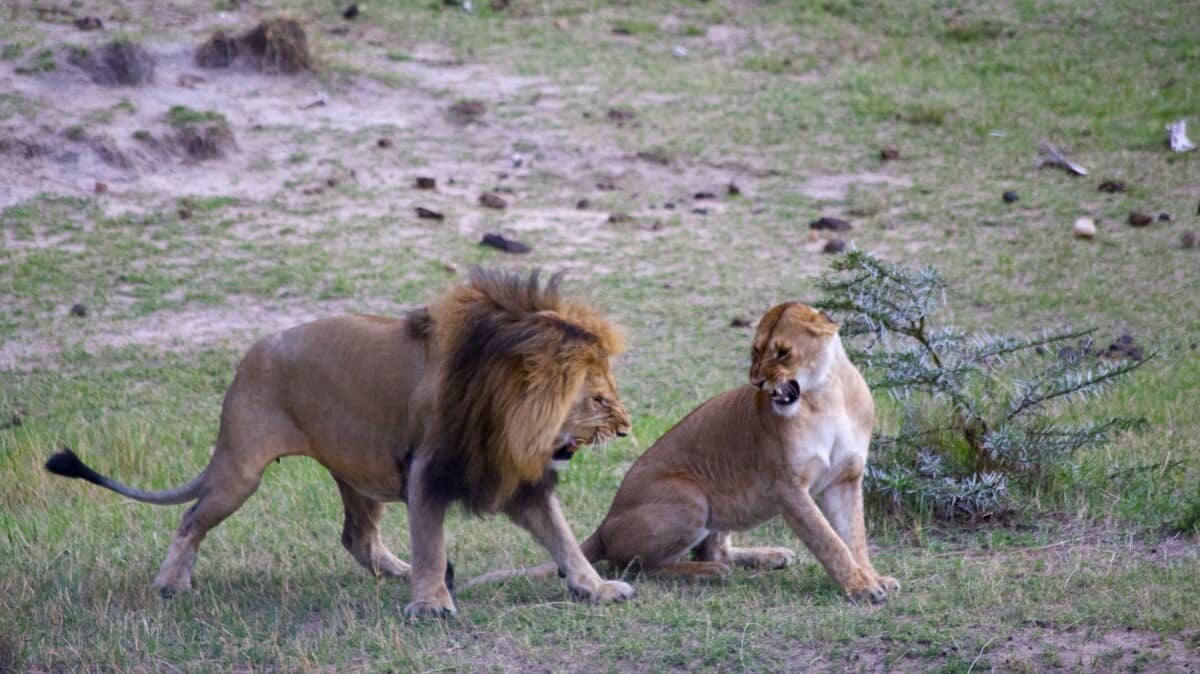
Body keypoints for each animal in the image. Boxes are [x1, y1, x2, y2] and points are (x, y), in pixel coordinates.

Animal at [44, 268, 636, 618]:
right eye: (599, 398)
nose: (627, 429)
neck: (503, 406)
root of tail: (245, 359)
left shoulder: (516, 478)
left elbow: (562, 538)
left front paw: (597, 587)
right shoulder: (428, 469)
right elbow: (431, 540)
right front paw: (431, 603)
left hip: (360, 475)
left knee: (358, 538)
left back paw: (397, 573)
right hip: (241, 470)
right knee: (191, 519)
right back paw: (171, 584)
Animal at [464, 302, 899, 603]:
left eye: (782, 352)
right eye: (755, 352)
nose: (757, 383)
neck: (826, 396)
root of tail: (604, 524)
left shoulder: (845, 478)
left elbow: (853, 537)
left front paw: (873, 578)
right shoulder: (789, 488)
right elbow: (830, 542)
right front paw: (861, 587)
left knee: (714, 548)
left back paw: (767, 556)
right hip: (691, 496)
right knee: (635, 565)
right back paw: (708, 573)